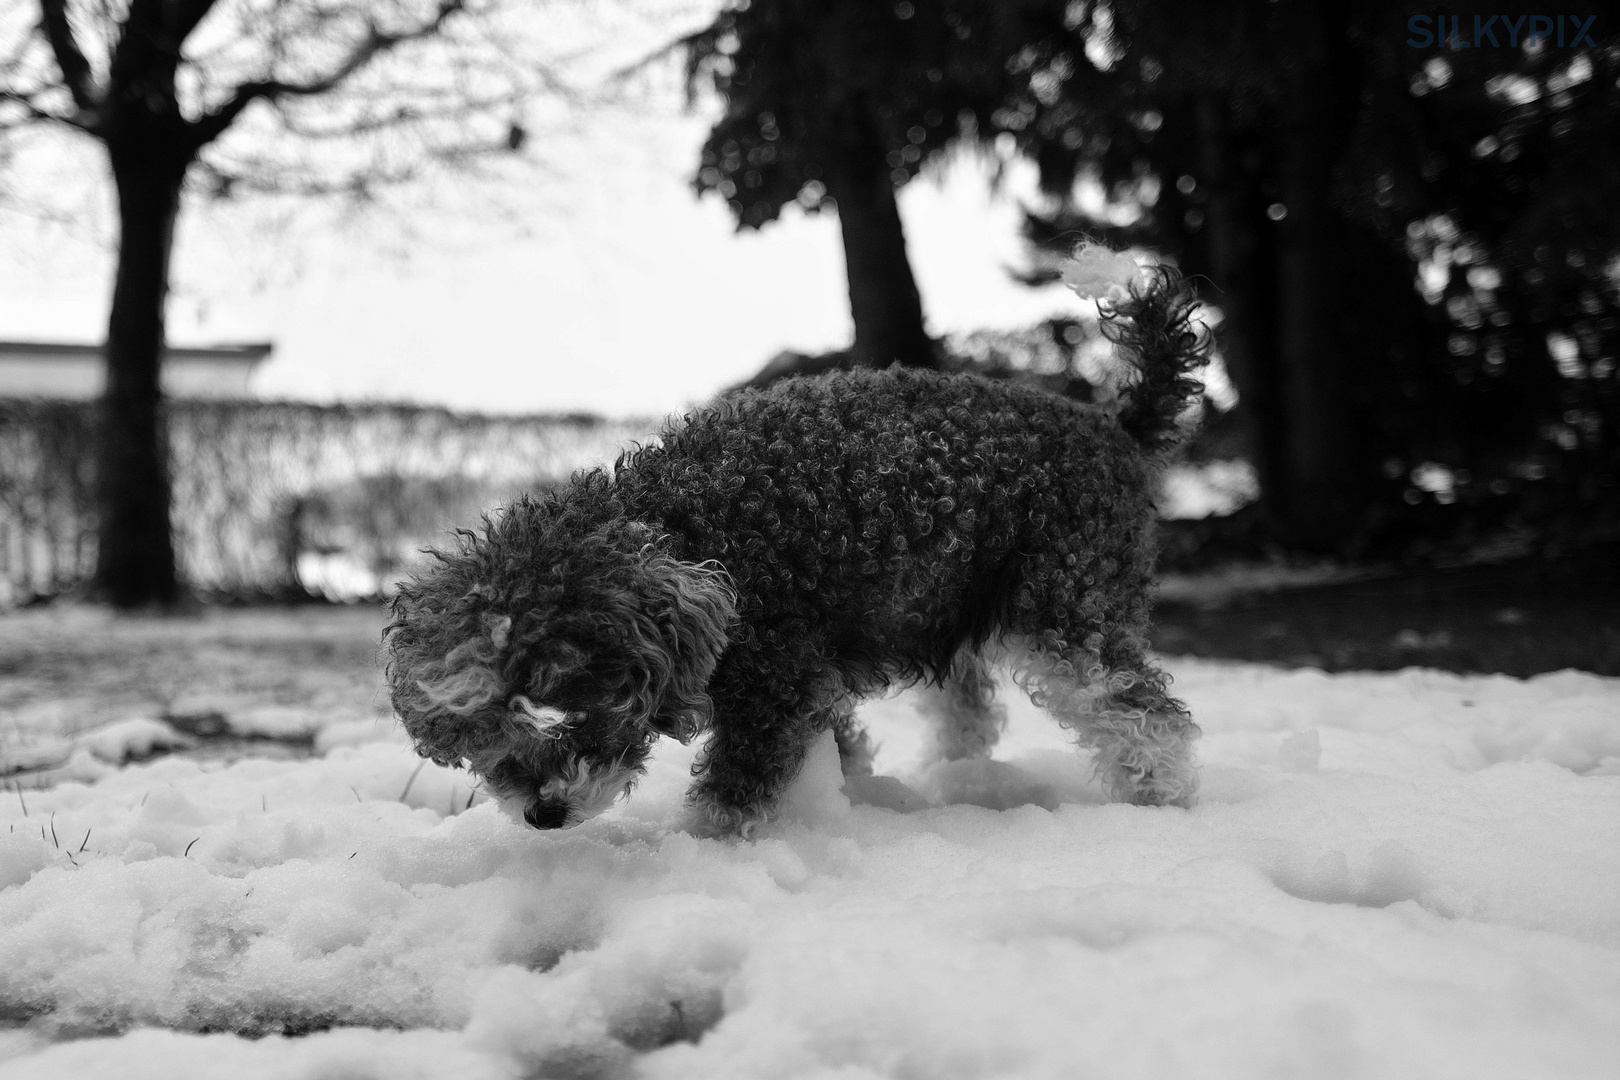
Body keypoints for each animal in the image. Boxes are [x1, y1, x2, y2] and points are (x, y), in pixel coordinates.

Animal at [385, 244, 1211, 835]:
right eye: (479, 732)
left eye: (563, 706)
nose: (542, 813)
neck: (686, 529)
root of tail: (1112, 425)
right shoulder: (811, 676)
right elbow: (837, 745)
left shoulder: (775, 679)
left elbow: (729, 800)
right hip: (955, 604)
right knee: (972, 706)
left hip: (1069, 604)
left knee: (1144, 715)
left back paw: (1162, 803)